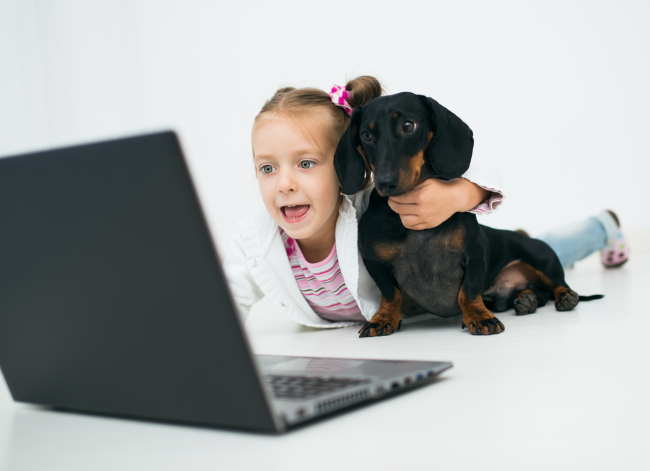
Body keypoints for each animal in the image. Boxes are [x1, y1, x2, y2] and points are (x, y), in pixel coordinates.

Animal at [334, 91, 604, 336]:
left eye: (408, 125)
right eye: (367, 136)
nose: (385, 182)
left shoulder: (474, 253)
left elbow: (469, 291)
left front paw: (479, 316)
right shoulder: (375, 262)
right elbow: (391, 294)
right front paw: (383, 318)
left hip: (542, 257)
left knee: (557, 283)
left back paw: (564, 295)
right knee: (536, 293)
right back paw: (526, 299)